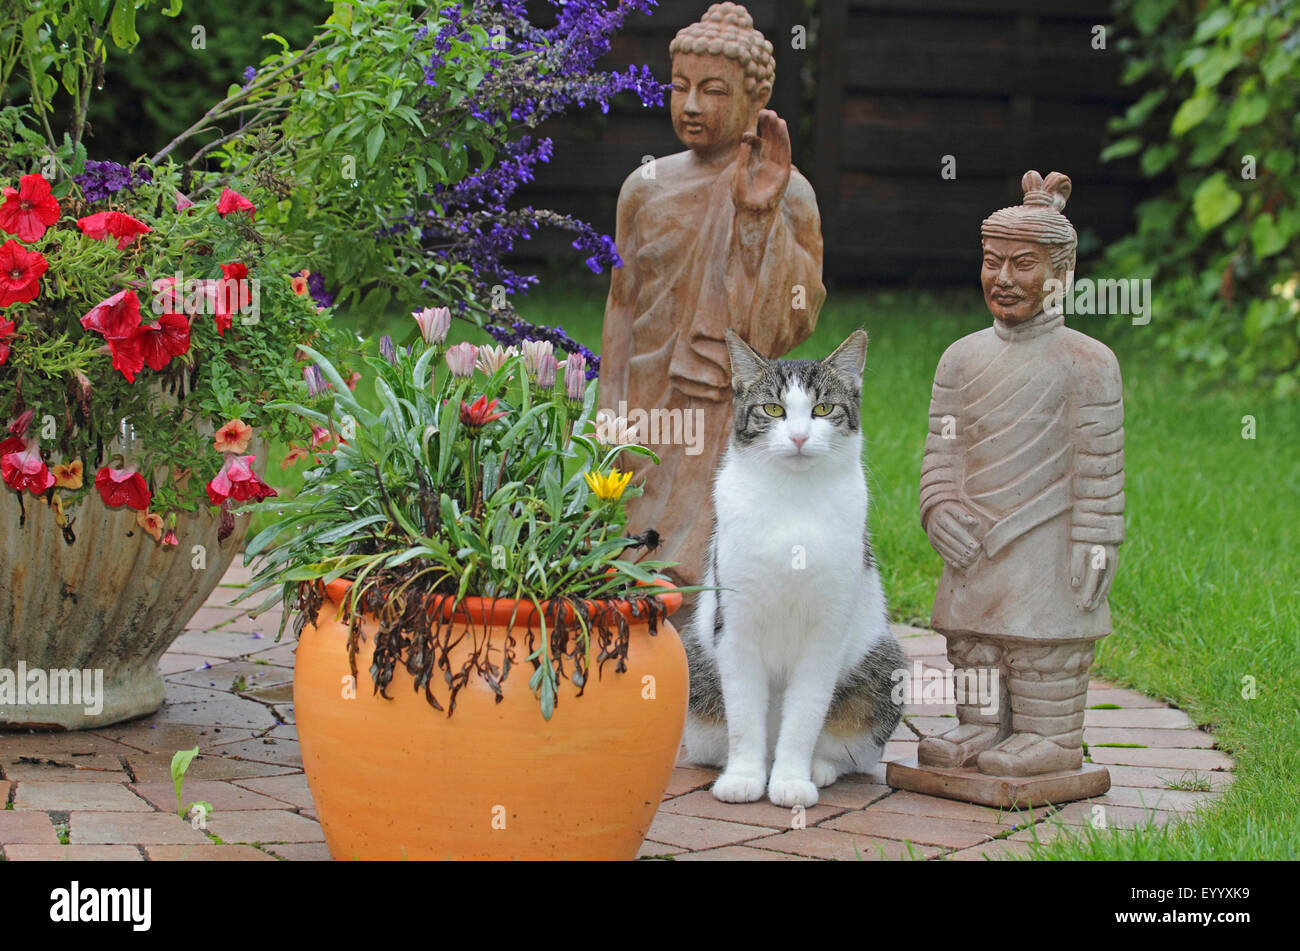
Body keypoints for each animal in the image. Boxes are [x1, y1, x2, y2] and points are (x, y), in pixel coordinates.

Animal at [681, 328, 904, 810]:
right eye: (772, 409)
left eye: (823, 409)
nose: (800, 437)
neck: (793, 500)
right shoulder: (736, 625)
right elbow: (744, 716)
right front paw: (744, 777)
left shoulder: (826, 632)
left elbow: (804, 717)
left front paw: (791, 780)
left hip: (885, 663)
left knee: (850, 748)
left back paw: (820, 768)